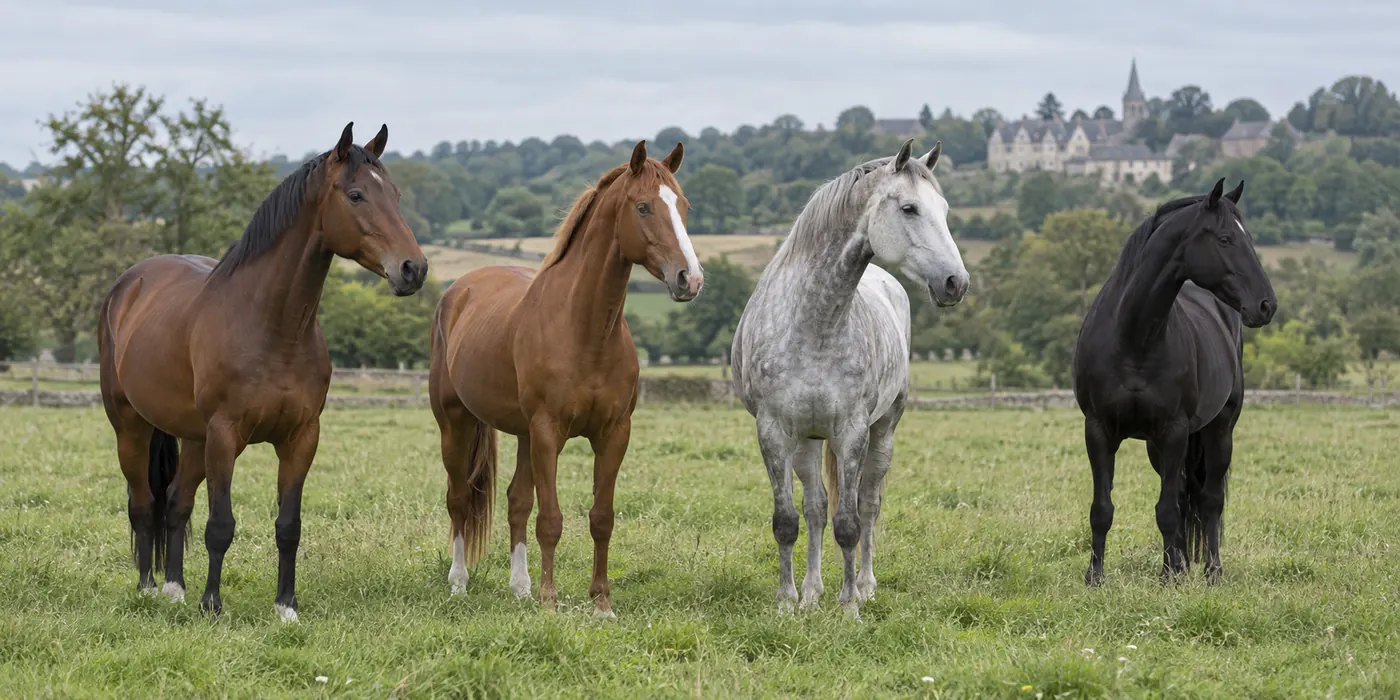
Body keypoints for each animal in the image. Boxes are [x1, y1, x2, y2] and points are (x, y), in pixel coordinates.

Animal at [98, 123, 427, 621]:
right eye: (356, 195)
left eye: (396, 194)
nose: (414, 269)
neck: (274, 328)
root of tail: (128, 284)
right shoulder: (225, 435)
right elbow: (220, 524)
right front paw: (212, 605)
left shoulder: (301, 438)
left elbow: (288, 525)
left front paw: (286, 606)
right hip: (131, 426)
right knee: (143, 503)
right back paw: (149, 589)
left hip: (193, 438)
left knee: (175, 502)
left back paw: (174, 587)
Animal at [428, 140, 702, 617]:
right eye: (644, 207)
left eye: (683, 206)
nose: (691, 278)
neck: (585, 329)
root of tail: (458, 291)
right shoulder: (548, 432)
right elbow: (551, 520)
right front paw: (550, 602)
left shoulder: (614, 434)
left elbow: (601, 518)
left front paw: (602, 603)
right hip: (456, 422)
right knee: (459, 498)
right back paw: (460, 583)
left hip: (521, 434)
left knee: (516, 501)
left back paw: (519, 587)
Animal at [731, 139, 969, 618]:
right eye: (910, 208)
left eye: (944, 209)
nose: (956, 282)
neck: (814, 323)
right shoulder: (773, 432)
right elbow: (788, 520)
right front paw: (787, 603)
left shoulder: (852, 432)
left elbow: (849, 522)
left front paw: (849, 608)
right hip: (807, 440)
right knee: (816, 506)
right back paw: (811, 592)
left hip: (884, 430)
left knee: (868, 505)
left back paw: (864, 585)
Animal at [1072, 178, 1277, 586]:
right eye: (1226, 238)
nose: (1267, 305)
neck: (1133, 339)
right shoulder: (1098, 430)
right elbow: (1102, 509)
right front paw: (1095, 576)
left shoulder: (1174, 430)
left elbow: (1167, 509)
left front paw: (1167, 576)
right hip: (1157, 445)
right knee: (1183, 494)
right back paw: (1183, 563)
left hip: (1219, 430)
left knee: (1209, 500)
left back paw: (1211, 570)